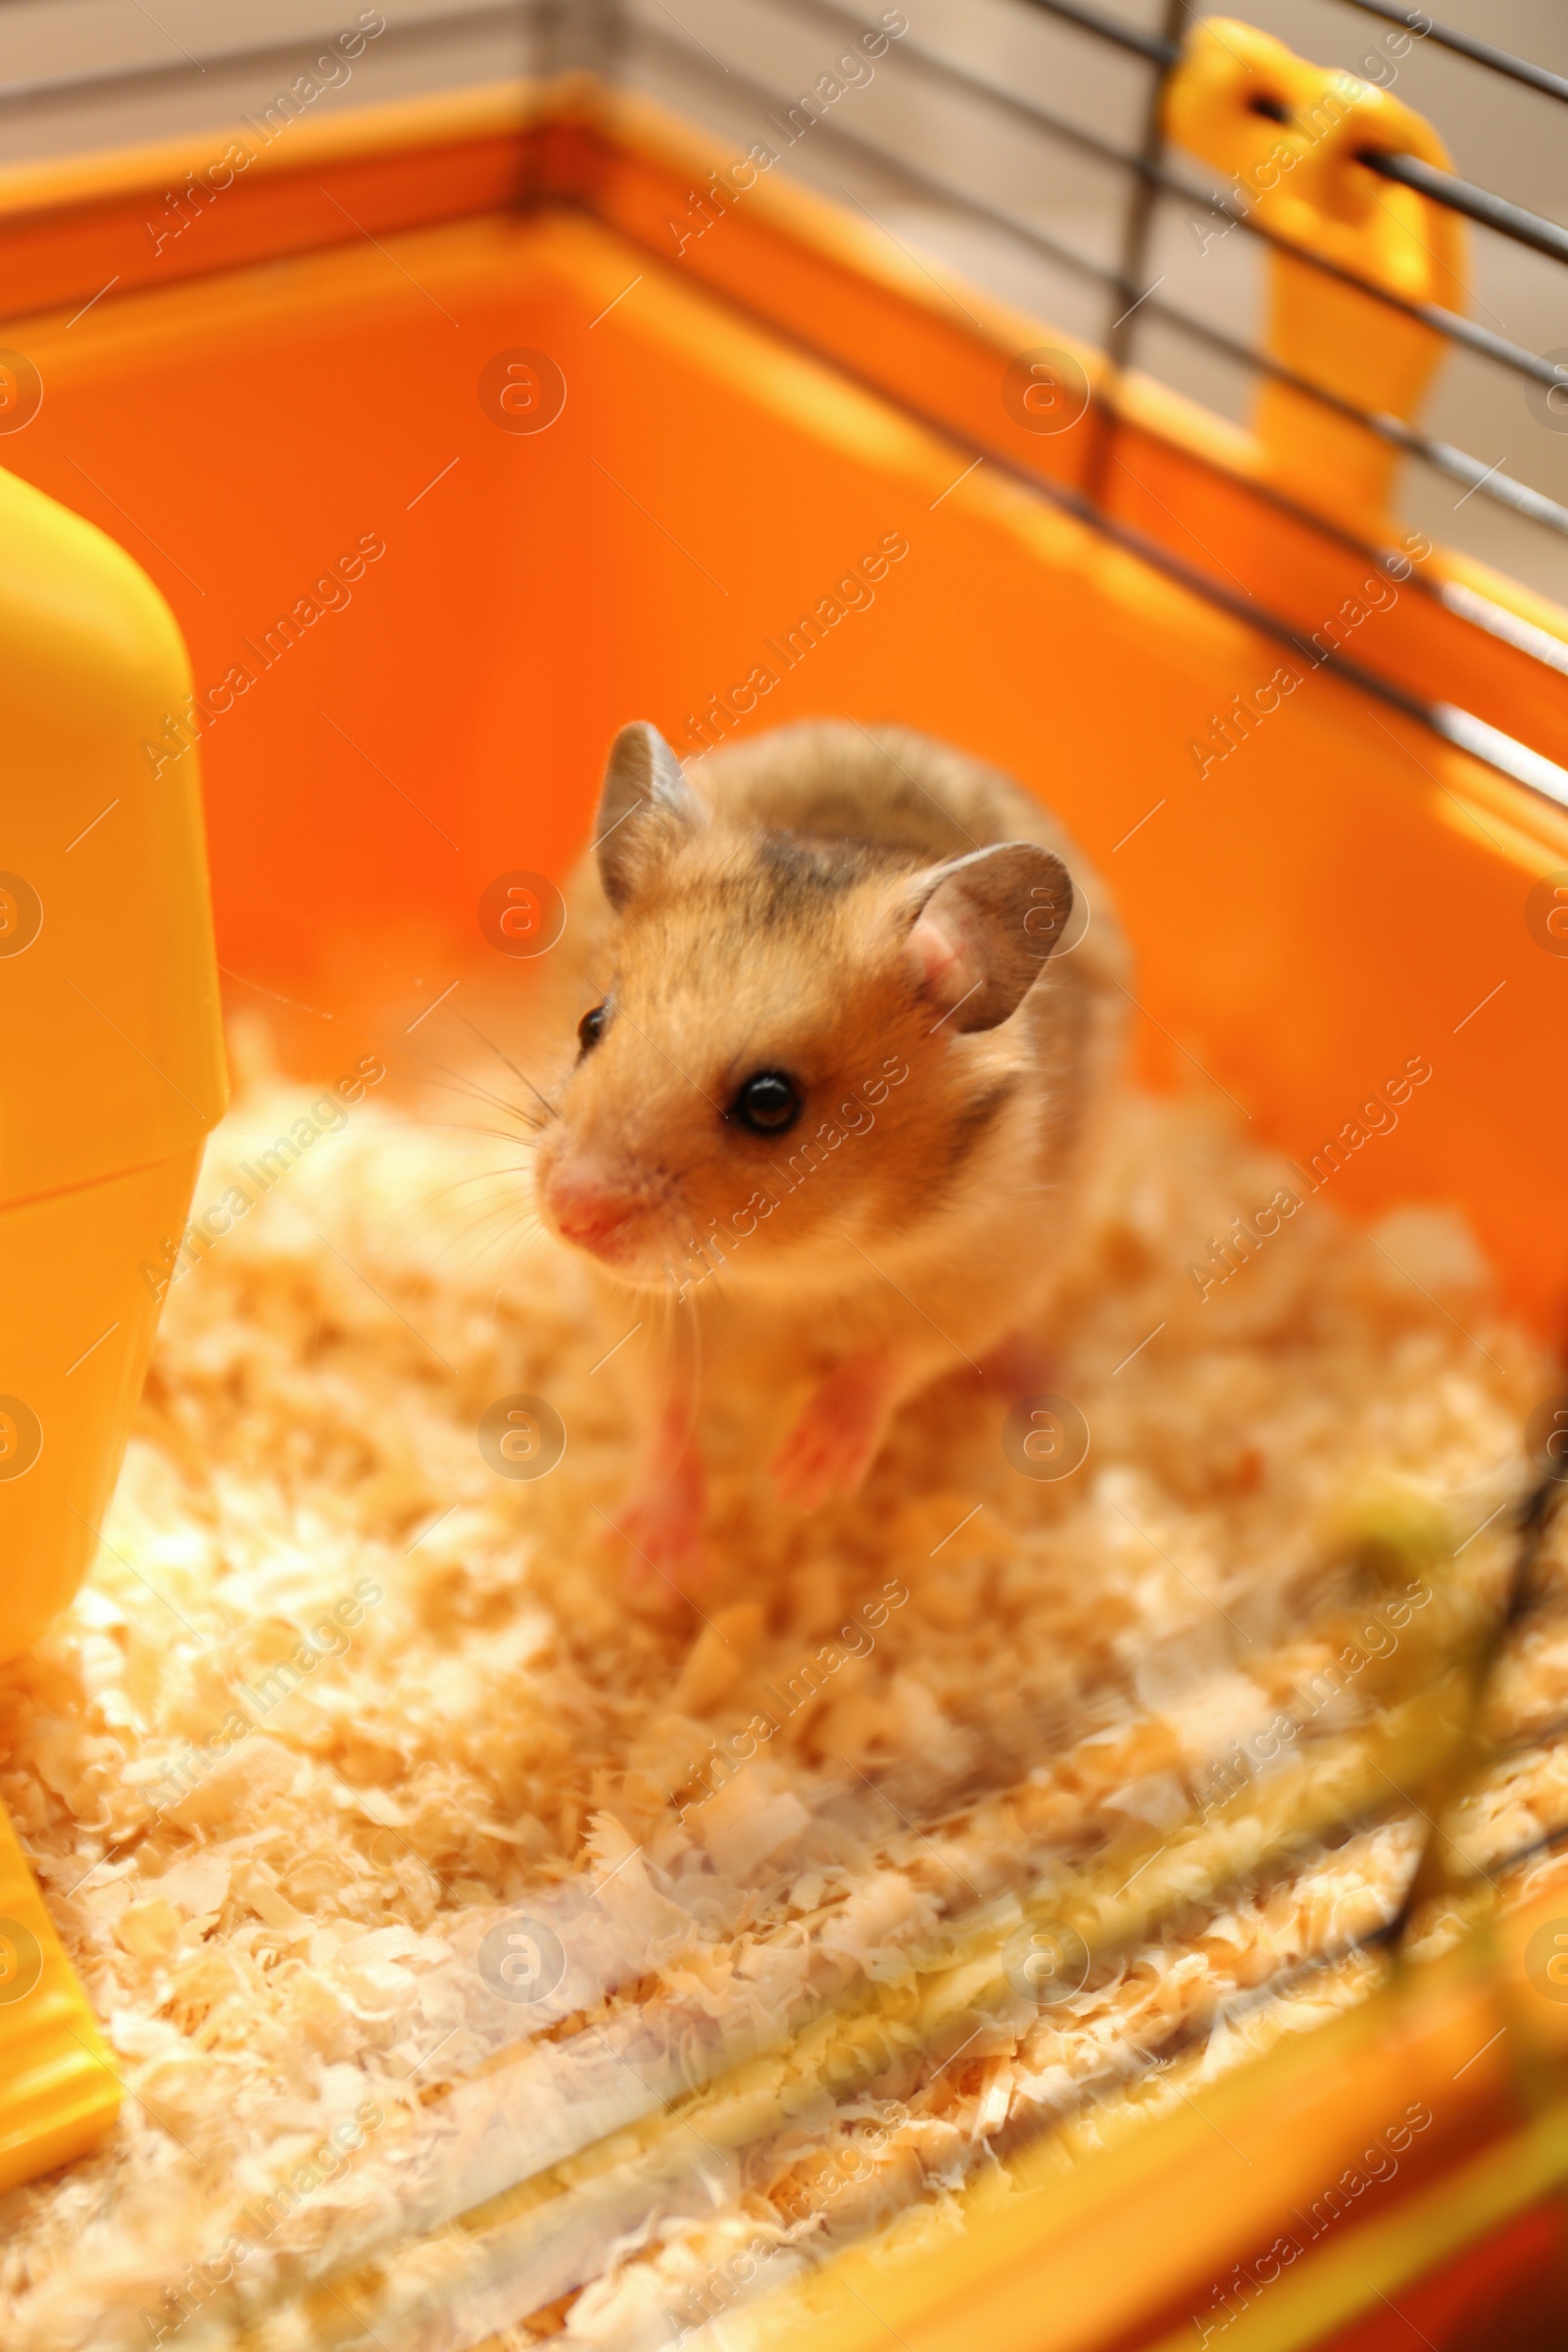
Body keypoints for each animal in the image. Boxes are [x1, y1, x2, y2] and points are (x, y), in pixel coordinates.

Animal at [533, 714, 1123, 1599]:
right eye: (590, 1026)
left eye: (771, 1103)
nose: (570, 1215)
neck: (792, 1267)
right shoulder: (638, 1307)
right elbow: (665, 1404)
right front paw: (651, 1571)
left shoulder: (982, 1274)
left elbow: (887, 1361)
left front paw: (804, 1479)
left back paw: (1037, 1395)